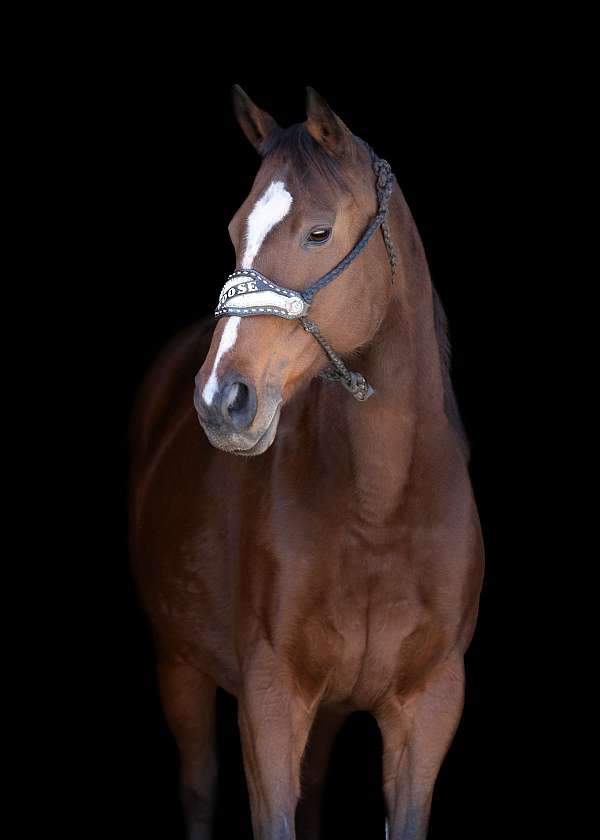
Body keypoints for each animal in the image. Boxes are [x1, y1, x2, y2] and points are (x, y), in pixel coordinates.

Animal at [130, 85, 484, 840]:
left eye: (318, 233)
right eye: (235, 229)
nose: (222, 400)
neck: (380, 511)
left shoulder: (430, 705)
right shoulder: (269, 700)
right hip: (179, 664)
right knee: (198, 786)